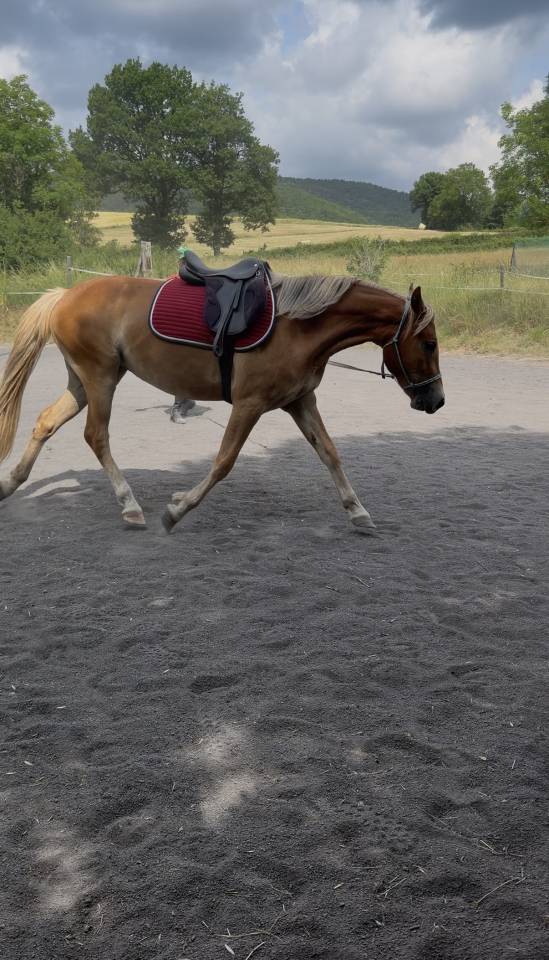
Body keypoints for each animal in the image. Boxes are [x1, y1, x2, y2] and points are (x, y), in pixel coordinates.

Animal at [0, 273, 444, 533]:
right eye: (429, 343)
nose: (437, 400)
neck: (297, 328)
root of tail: (64, 295)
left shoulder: (300, 400)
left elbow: (330, 453)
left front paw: (357, 511)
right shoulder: (249, 404)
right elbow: (224, 461)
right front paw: (177, 509)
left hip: (83, 381)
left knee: (45, 422)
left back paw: (10, 483)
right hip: (101, 378)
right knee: (96, 435)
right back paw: (130, 505)